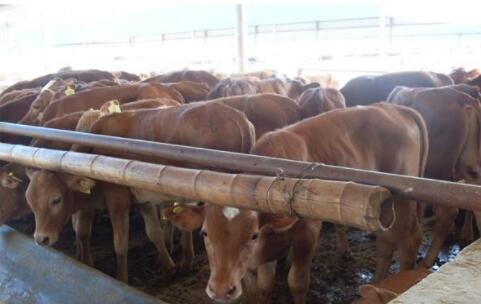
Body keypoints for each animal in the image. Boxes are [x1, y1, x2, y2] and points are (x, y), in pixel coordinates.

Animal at [24, 102, 255, 282]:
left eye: (56, 199)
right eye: (30, 201)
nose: (40, 238)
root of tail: (238, 116)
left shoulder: (117, 198)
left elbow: (119, 243)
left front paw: (121, 279)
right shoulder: (143, 200)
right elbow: (154, 233)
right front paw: (168, 267)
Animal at [167, 102, 426, 304]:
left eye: (253, 235)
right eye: (205, 233)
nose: (221, 289)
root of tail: (397, 108)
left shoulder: (307, 232)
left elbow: (297, 282)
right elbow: (261, 286)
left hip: (403, 198)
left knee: (409, 239)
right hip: (385, 212)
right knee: (386, 242)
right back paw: (378, 285)